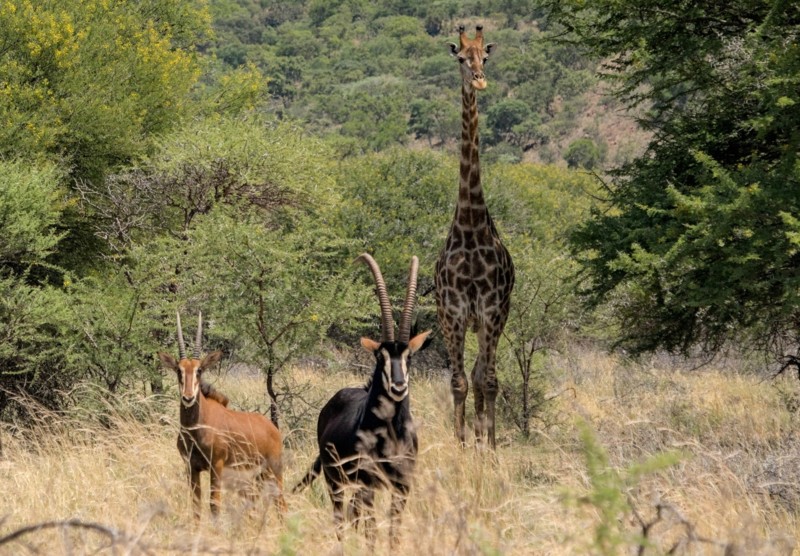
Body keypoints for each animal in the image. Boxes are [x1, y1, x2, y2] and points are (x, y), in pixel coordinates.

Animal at [158, 312, 286, 520]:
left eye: (199, 370)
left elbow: (214, 505)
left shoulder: (216, 466)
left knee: (281, 504)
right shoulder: (191, 467)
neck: (196, 429)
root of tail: (273, 428)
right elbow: (196, 507)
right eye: (179, 370)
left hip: (273, 471)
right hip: (253, 477)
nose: (188, 397)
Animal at [294, 254, 432, 544]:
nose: (399, 385)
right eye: (380, 356)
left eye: (409, 356)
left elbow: (393, 530)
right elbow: (371, 530)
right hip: (335, 480)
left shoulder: (402, 486)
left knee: (351, 515)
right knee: (340, 517)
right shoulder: (367, 484)